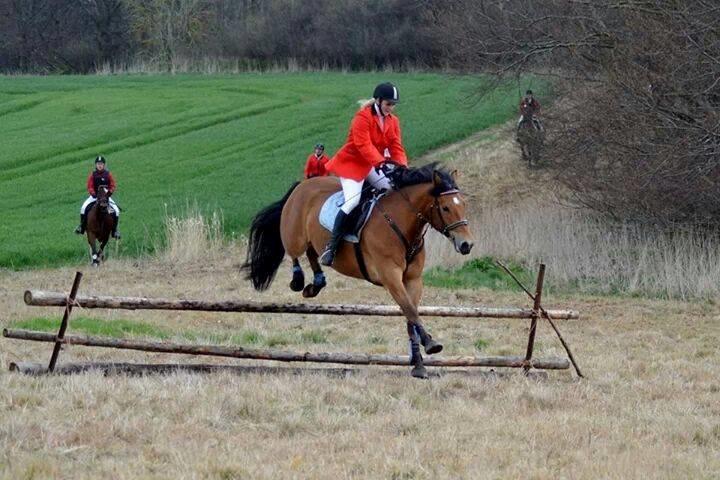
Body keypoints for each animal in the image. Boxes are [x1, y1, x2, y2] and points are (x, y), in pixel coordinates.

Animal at [245, 165, 476, 378]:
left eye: (463, 204)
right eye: (445, 208)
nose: (467, 245)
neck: (402, 223)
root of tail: (301, 185)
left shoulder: (412, 280)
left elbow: (410, 316)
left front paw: (418, 364)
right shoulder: (390, 276)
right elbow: (410, 310)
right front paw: (430, 343)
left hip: (312, 241)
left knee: (312, 254)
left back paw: (316, 283)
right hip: (295, 234)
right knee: (294, 251)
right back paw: (299, 280)